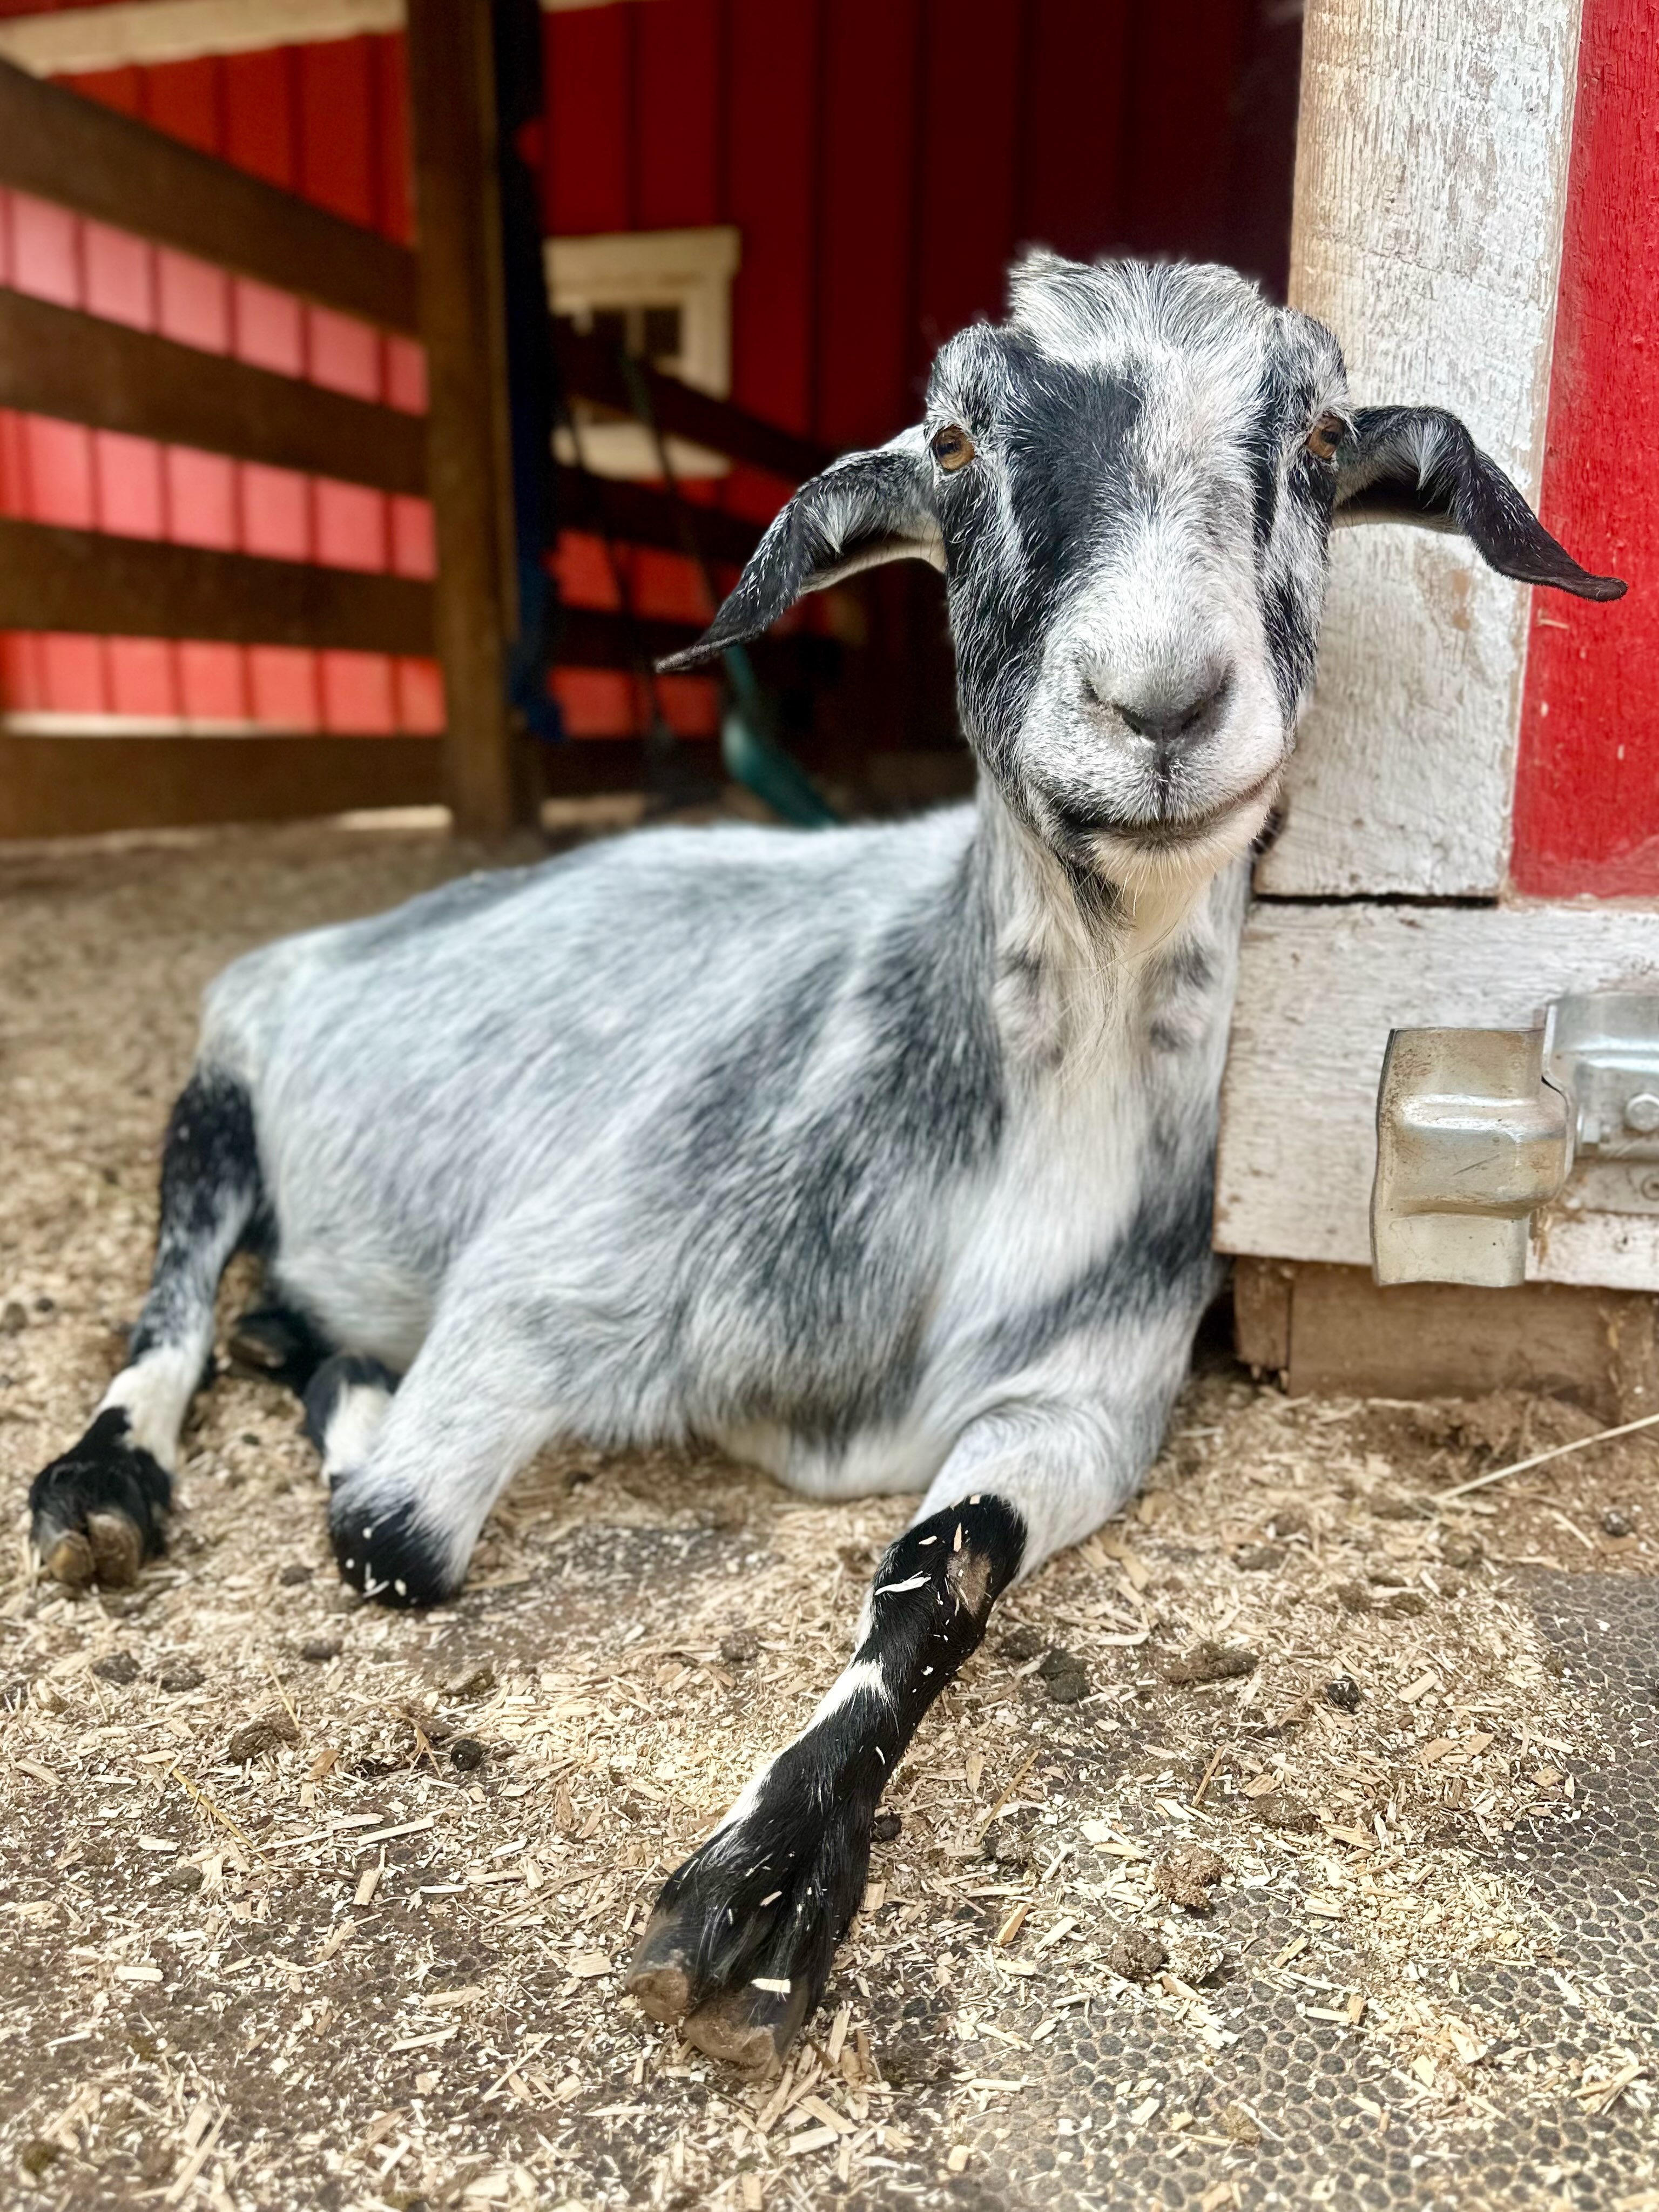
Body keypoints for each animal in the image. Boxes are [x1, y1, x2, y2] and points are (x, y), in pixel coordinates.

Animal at [27, 252, 1621, 2068]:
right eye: (955, 439)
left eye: (1328, 432)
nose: (1158, 704)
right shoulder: (541, 1294)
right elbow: (392, 1533)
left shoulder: (1085, 1403)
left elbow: (942, 1569)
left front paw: (772, 1882)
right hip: (226, 1072)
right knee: (177, 1294)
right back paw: (106, 1487)